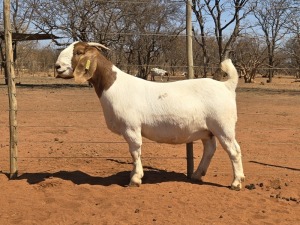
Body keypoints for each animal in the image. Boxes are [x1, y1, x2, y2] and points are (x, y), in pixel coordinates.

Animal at [56, 41, 246, 190]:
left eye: (79, 52)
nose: (57, 67)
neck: (114, 85)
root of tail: (227, 86)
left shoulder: (131, 127)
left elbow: (135, 151)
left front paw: (135, 179)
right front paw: (134, 175)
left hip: (223, 125)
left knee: (234, 150)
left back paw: (236, 182)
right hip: (207, 130)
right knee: (210, 149)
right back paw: (197, 175)